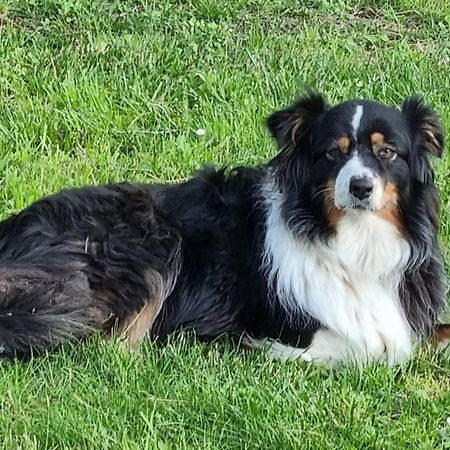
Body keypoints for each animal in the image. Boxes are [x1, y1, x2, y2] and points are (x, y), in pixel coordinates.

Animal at [0, 92, 448, 366]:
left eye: (387, 152)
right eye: (331, 153)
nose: (360, 187)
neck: (354, 241)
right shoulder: (277, 326)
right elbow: (370, 347)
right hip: (148, 241)